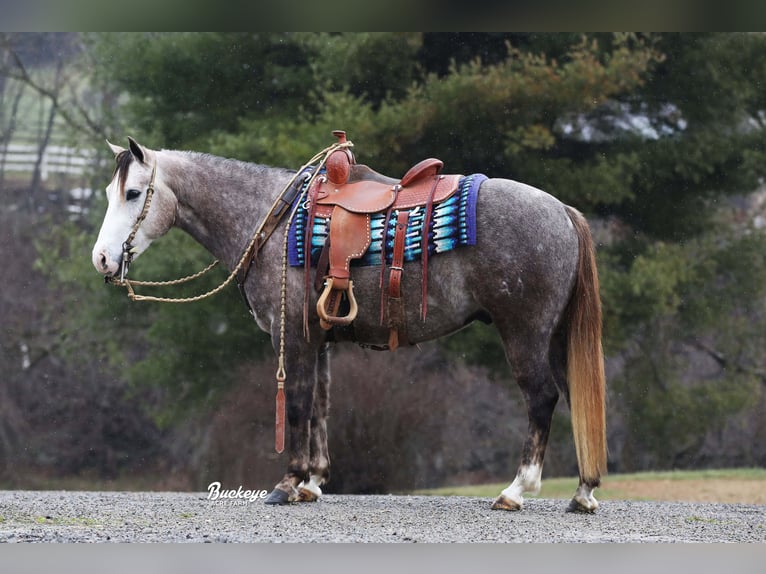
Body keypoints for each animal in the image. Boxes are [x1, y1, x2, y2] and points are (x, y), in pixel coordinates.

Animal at [90, 137, 608, 516]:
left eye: (133, 194)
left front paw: (288, 482)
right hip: (555, 338)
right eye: (111, 194)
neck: (273, 220)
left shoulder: (293, 337)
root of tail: (563, 212)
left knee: (541, 398)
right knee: (573, 396)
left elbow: (298, 404)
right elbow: (321, 406)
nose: (102, 259)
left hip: (524, 333)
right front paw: (313, 482)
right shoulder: (319, 340)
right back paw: (583, 492)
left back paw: (516, 490)